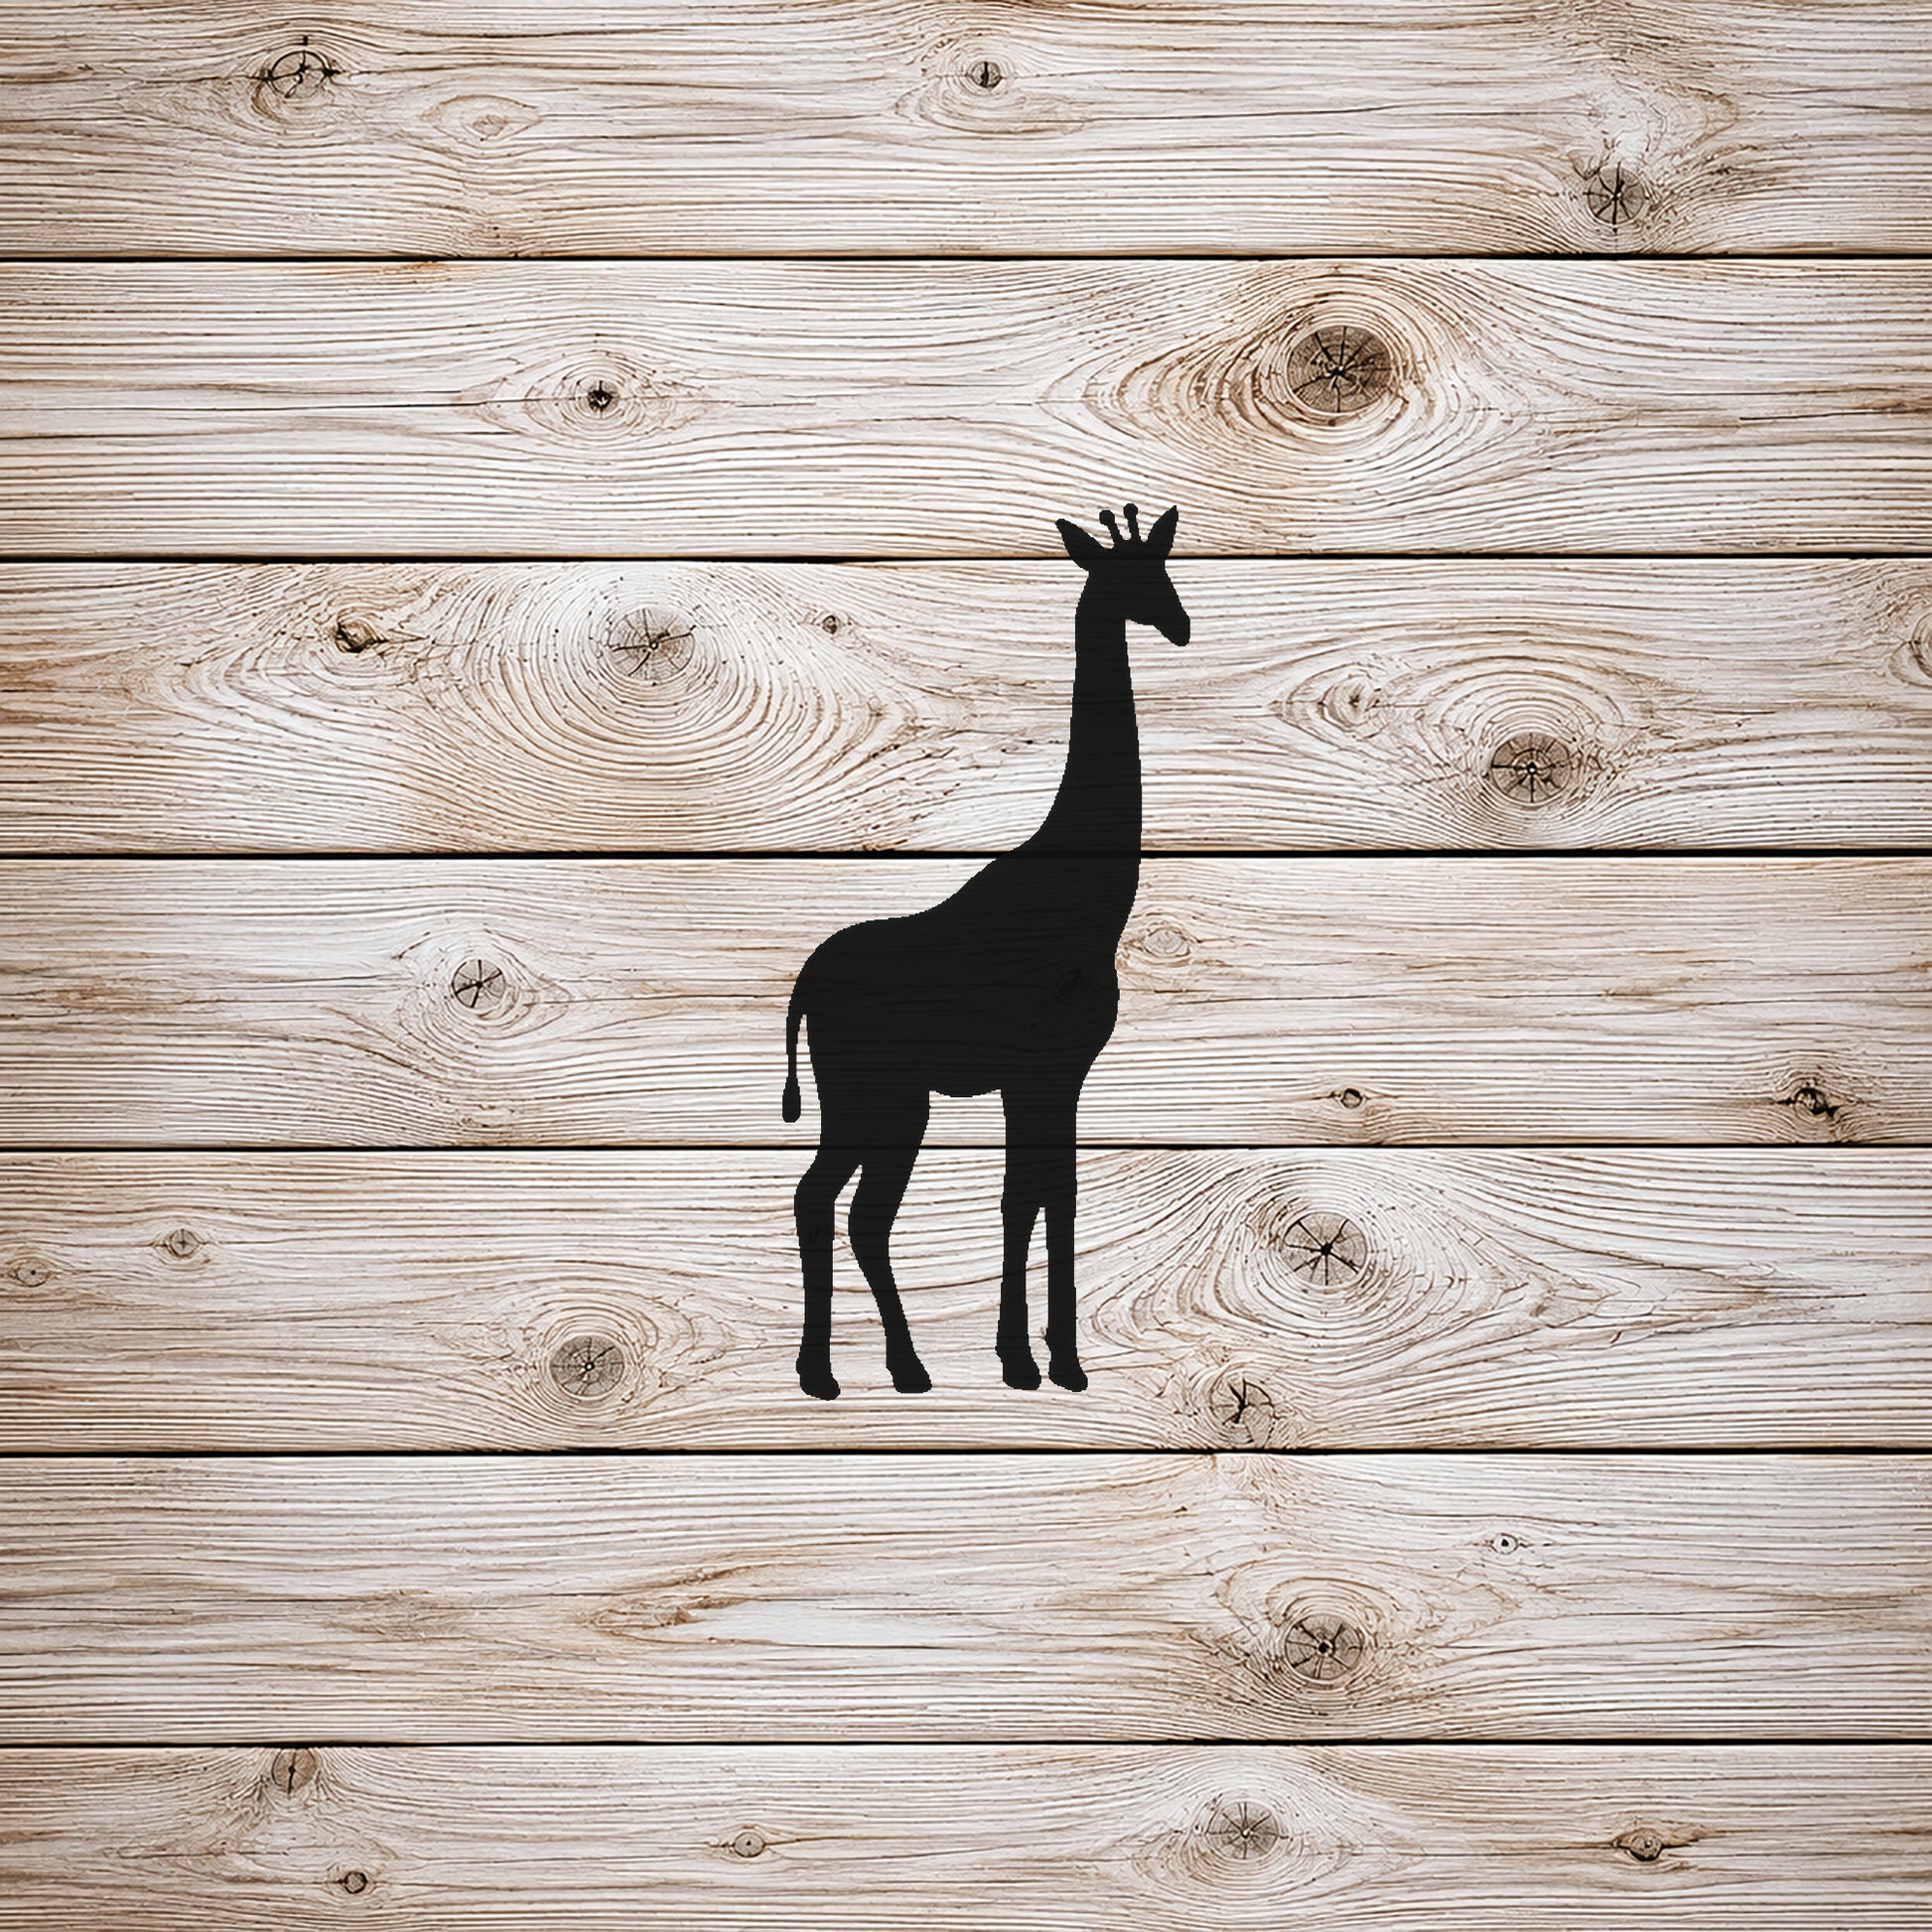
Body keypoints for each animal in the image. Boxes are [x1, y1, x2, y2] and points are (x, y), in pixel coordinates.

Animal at [782, 503, 1190, 1400]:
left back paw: (855, 1371)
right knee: (844, 1207)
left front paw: (1038, 1358)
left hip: (872, 1100)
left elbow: (1042, 1194)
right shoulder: (1044, 1068)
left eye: (1166, 566)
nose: (1180, 626)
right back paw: (874, 1371)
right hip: (884, 1098)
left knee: (833, 1203)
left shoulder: (1052, 1074)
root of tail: (801, 990)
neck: (1086, 899)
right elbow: (1034, 1196)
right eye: (1131, 577)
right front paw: (1044, 1360)